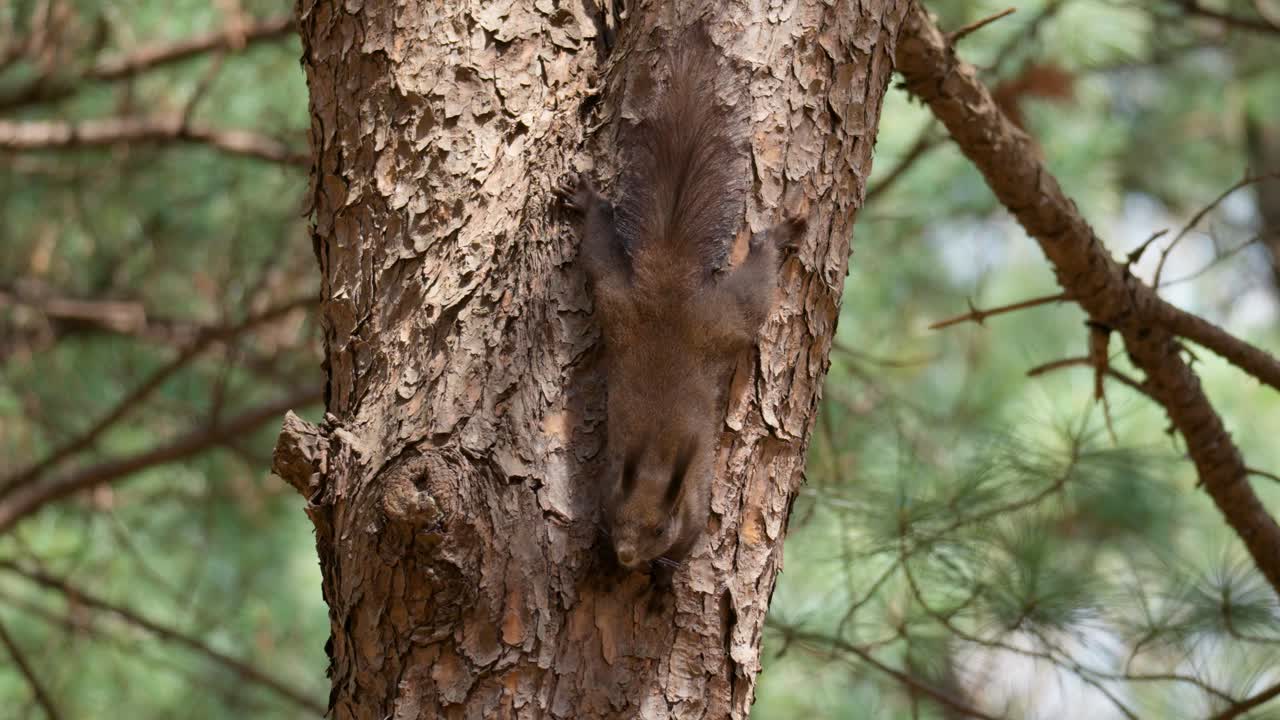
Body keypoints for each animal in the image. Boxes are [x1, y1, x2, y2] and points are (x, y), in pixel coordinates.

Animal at [560, 28, 806, 588]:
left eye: (658, 529)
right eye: (619, 518)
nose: (627, 555)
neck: (652, 461)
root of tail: (669, 290)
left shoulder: (693, 509)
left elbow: (688, 545)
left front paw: (663, 577)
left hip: (724, 314)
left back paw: (777, 236)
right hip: (620, 297)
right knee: (599, 245)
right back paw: (589, 202)